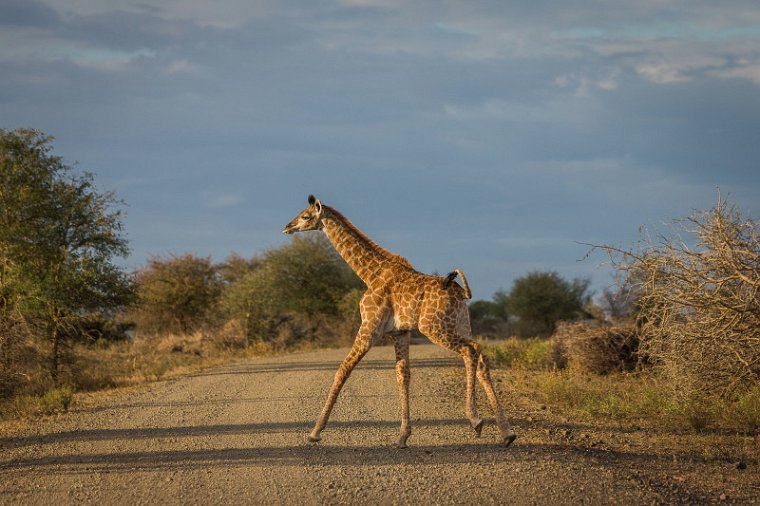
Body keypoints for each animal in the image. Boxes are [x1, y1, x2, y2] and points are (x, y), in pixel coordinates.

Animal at [284, 196, 516, 448]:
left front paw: (315, 432)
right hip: (461, 324)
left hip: (434, 328)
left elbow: (343, 369)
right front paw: (403, 435)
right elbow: (402, 376)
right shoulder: (400, 332)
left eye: (305, 216)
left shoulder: (369, 327)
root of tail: (462, 293)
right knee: (481, 357)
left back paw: (475, 419)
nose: (287, 227)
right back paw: (507, 433)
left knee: (470, 350)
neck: (370, 274)